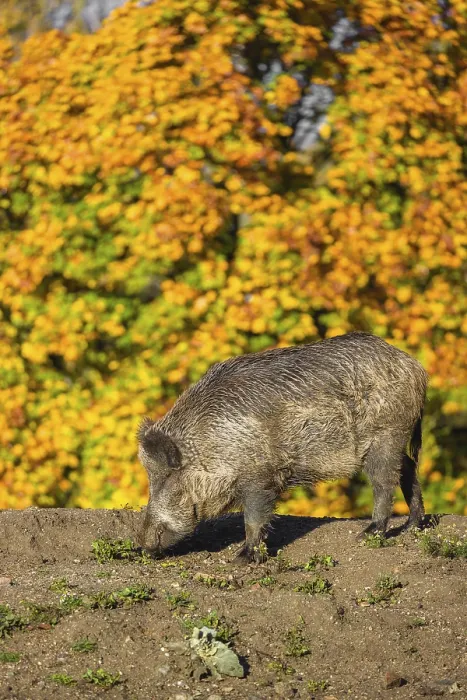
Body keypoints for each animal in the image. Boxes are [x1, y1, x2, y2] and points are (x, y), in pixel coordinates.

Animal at [137, 332, 427, 562]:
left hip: (386, 435)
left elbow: (254, 518)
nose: (144, 546)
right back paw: (413, 526)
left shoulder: (259, 477)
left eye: (167, 477)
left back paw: (367, 535)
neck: (213, 445)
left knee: (384, 482)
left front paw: (241, 560)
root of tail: (414, 365)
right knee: (408, 469)